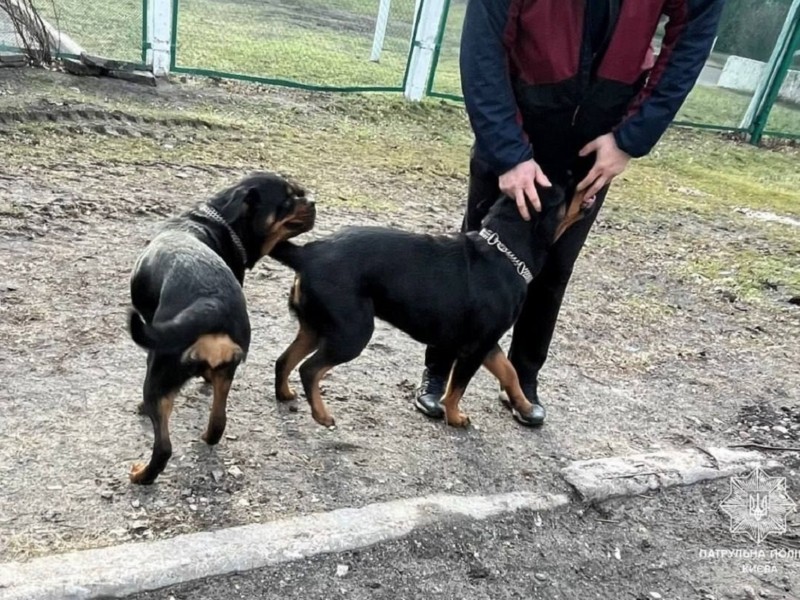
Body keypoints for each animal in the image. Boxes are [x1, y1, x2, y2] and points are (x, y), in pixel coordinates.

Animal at [126, 171, 314, 486]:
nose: (312, 201)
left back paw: (142, 475)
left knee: (163, 447)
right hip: (226, 372)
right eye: (290, 198)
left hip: (158, 373)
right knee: (217, 424)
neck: (217, 220)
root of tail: (212, 302)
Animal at [268, 182, 588, 426]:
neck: (505, 254)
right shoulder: (475, 348)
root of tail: (307, 254)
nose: (587, 184)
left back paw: (285, 394)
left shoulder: (488, 343)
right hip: (352, 332)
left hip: (315, 327)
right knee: (310, 369)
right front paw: (455, 418)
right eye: (564, 188)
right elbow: (457, 387)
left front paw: (523, 406)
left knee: (284, 360)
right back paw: (322, 415)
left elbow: (509, 372)